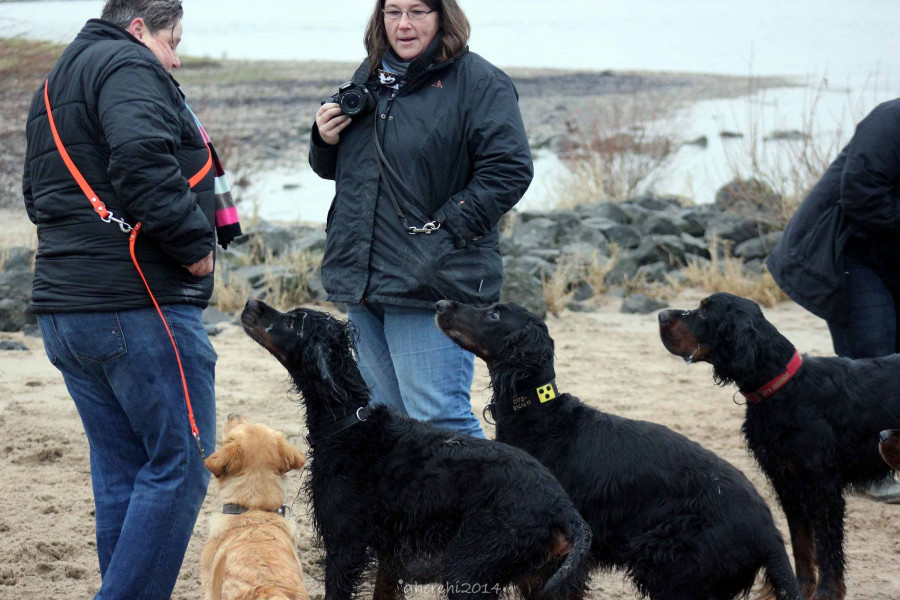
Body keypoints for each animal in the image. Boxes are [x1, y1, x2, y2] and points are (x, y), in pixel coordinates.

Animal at [240, 299, 593, 600]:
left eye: (291, 321)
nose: (250, 303)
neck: (349, 424)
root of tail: (564, 508)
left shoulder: (344, 546)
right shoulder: (389, 556)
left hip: (469, 569)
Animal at [436, 299, 801, 600]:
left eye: (495, 314)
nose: (440, 304)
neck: (540, 415)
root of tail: (771, 533)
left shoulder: (564, 555)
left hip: (674, 570)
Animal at [659, 291, 900, 600]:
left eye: (703, 311)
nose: (661, 316)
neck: (784, 387)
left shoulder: (823, 488)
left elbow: (827, 549)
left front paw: (826, 593)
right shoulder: (787, 484)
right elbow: (801, 546)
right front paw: (801, 589)